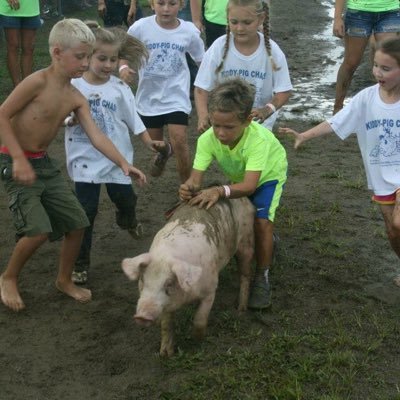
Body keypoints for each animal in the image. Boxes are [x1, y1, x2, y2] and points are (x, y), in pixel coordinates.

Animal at [120, 197, 255, 356]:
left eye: (169, 283)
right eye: (142, 279)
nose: (141, 316)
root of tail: (244, 199)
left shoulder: (210, 289)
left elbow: (200, 318)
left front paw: (197, 340)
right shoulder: (166, 304)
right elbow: (166, 324)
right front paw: (165, 353)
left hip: (247, 239)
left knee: (245, 275)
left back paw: (241, 309)